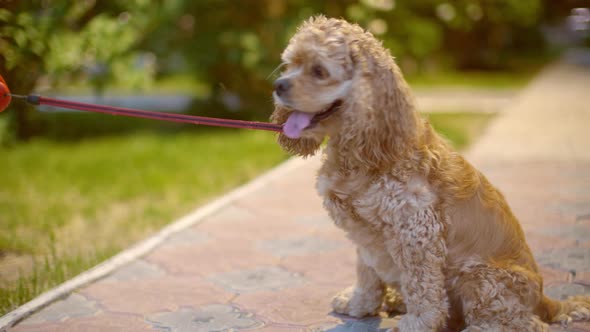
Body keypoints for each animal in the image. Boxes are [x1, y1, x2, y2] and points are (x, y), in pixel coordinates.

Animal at [270, 16, 588, 332]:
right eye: (289, 65)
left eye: (319, 71)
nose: (277, 85)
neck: (364, 149)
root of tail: (545, 299)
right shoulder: (365, 234)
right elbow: (367, 271)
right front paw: (359, 304)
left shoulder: (416, 230)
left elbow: (421, 286)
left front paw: (418, 322)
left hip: (480, 277)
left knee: (521, 322)